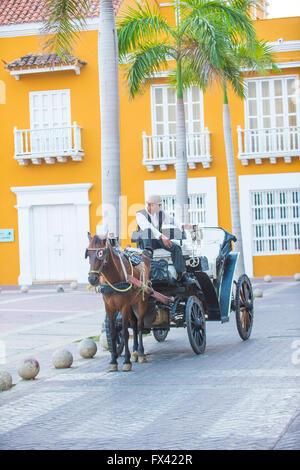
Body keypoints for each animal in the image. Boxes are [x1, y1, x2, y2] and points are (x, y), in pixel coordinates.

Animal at [85, 231, 151, 370]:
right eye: (87, 253)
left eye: (100, 253)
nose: (92, 279)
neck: (114, 278)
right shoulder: (109, 307)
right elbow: (113, 333)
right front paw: (113, 361)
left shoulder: (124, 306)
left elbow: (125, 332)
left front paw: (126, 361)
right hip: (132, 304)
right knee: (134, 325)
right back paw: (135, 352)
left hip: (142, 301)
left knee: (139, 325)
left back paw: (141, 353)